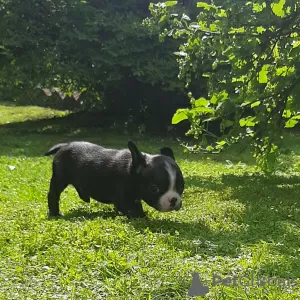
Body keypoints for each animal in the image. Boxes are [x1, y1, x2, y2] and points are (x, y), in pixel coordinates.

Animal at [44, 141, 184, 218]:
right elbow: (133, 209)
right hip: (60, 178)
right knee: (53, 194)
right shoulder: (122, 198)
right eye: (154, 188)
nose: (173, 200)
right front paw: (142, 216)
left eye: (181, 186)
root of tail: (65, 145)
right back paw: (55, 213)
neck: (131, 169)